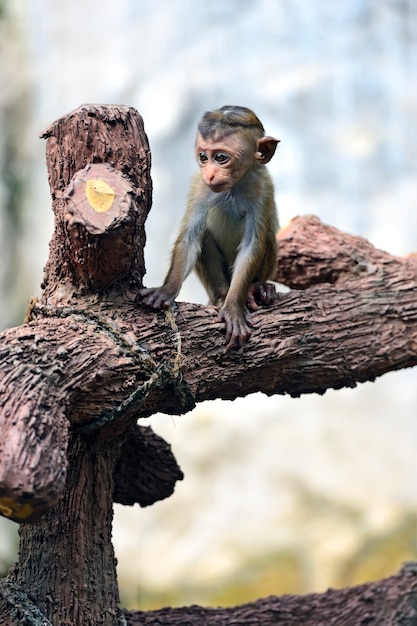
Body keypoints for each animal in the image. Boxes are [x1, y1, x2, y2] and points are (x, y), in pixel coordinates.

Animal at [139, 105, 280, 348]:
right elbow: (190, 238)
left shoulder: (262, 187)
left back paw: (257, 288)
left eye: (221, 157)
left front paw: (233, 308)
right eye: (203, 157)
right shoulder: (200, 186)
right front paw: (166, 290)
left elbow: (252, 246)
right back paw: (223, 294)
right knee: (204, 235)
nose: (210, 173)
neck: (233, 187)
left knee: (268, 237)